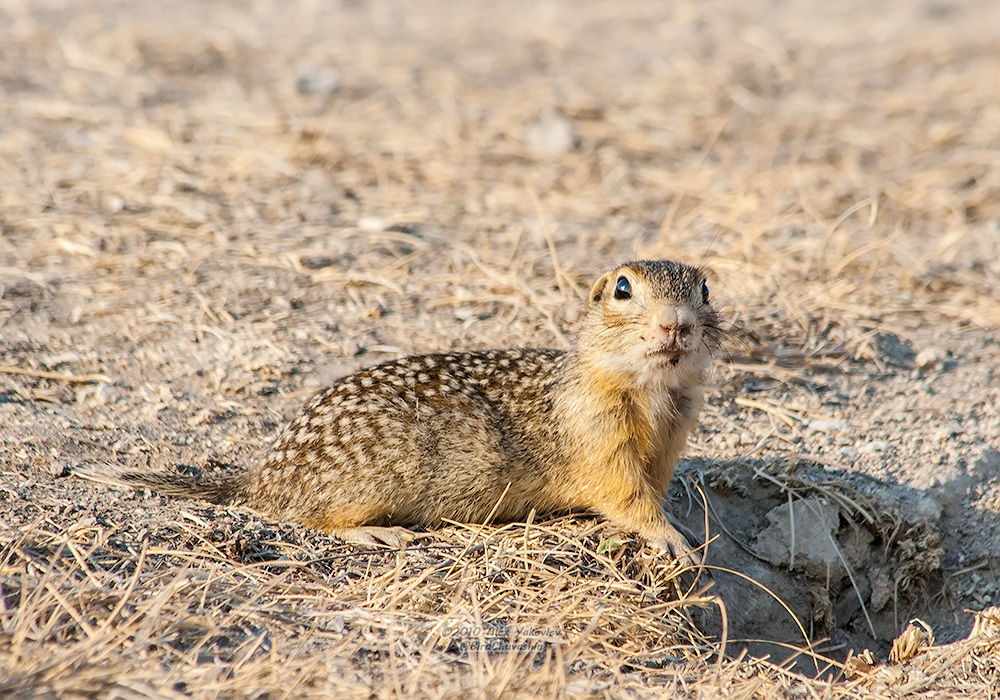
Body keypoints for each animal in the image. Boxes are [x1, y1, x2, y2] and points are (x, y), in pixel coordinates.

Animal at [76, 262, 720, 564]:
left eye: (706, 290)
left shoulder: (667, 447)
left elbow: (653, 490)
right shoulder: (601, 441)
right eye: (622, 289)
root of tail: (261, 479)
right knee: (309, 519)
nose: (677, 324)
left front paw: (681, 524)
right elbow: (627, 498)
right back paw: (378, 532)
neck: (652, 390)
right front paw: (672, 537)